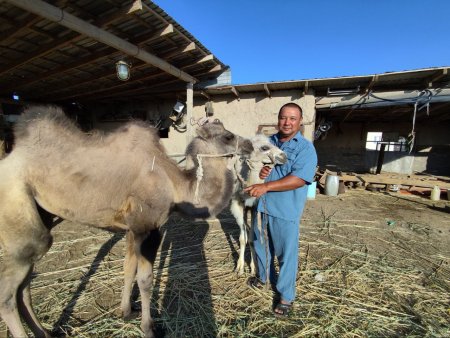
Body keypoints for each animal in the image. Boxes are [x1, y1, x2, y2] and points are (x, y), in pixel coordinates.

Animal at [0, 104, 253, 336]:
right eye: (228, 136)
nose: (250, 145)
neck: (175, 184)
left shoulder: (132, 229)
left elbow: (128, 268)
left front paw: (126, 311)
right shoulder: (147, 228)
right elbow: (145, 279)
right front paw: (148, 327)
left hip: (38, 216)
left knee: (24, 289)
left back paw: (44, 332)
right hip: (20, 214)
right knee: (8, 295)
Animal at [230, 133, 286, 276]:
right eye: (264, 147)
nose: (284, 156)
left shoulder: (255, 206)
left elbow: (252, 239)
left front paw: (254, 267)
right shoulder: (237, 204)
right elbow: (243, 238)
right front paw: (239, 268)